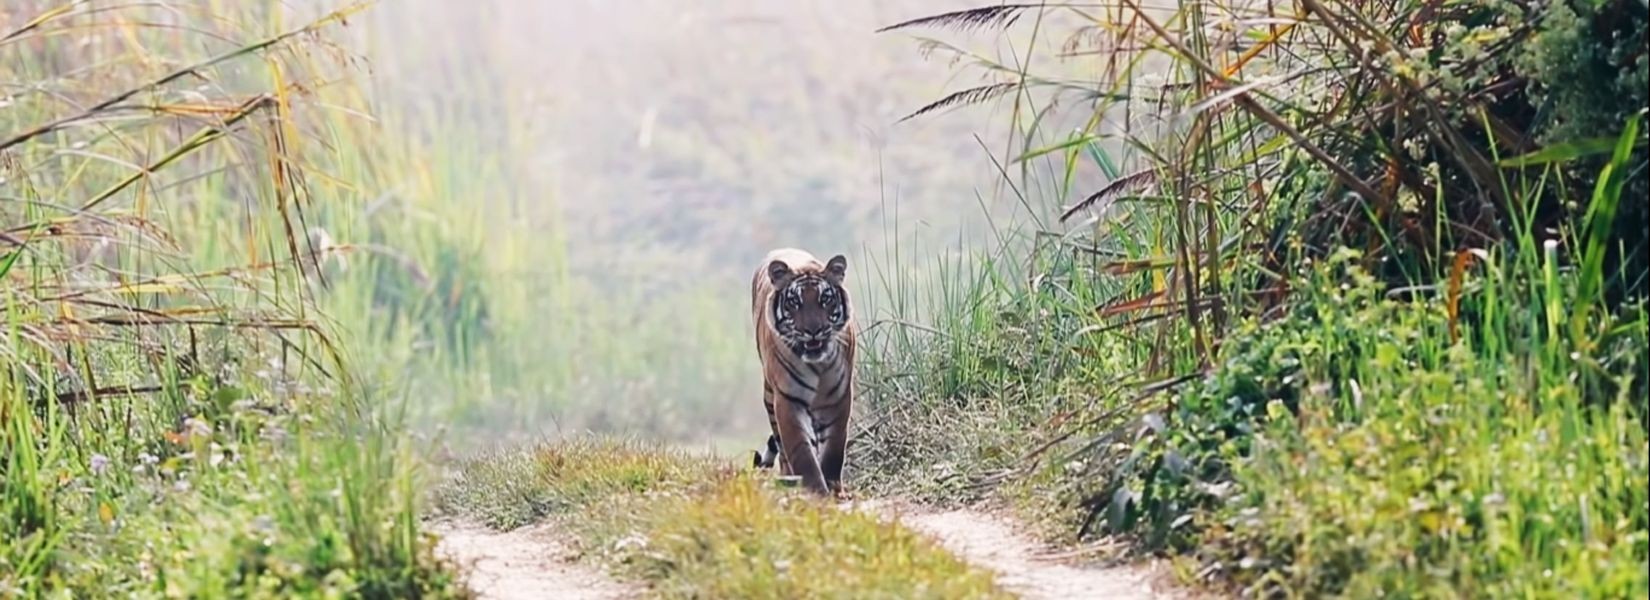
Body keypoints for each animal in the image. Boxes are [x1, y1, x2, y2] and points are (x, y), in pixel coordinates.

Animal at [745, 248, 851, 497]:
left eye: (825, 299)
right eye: (795, 302)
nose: (813, 331)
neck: (818, 365)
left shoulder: (839, 398)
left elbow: (834, 448)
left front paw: (833, 488)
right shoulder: (788, 400)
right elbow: (801, 450)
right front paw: (815, 489)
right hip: (770, 397)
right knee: (783, 450)